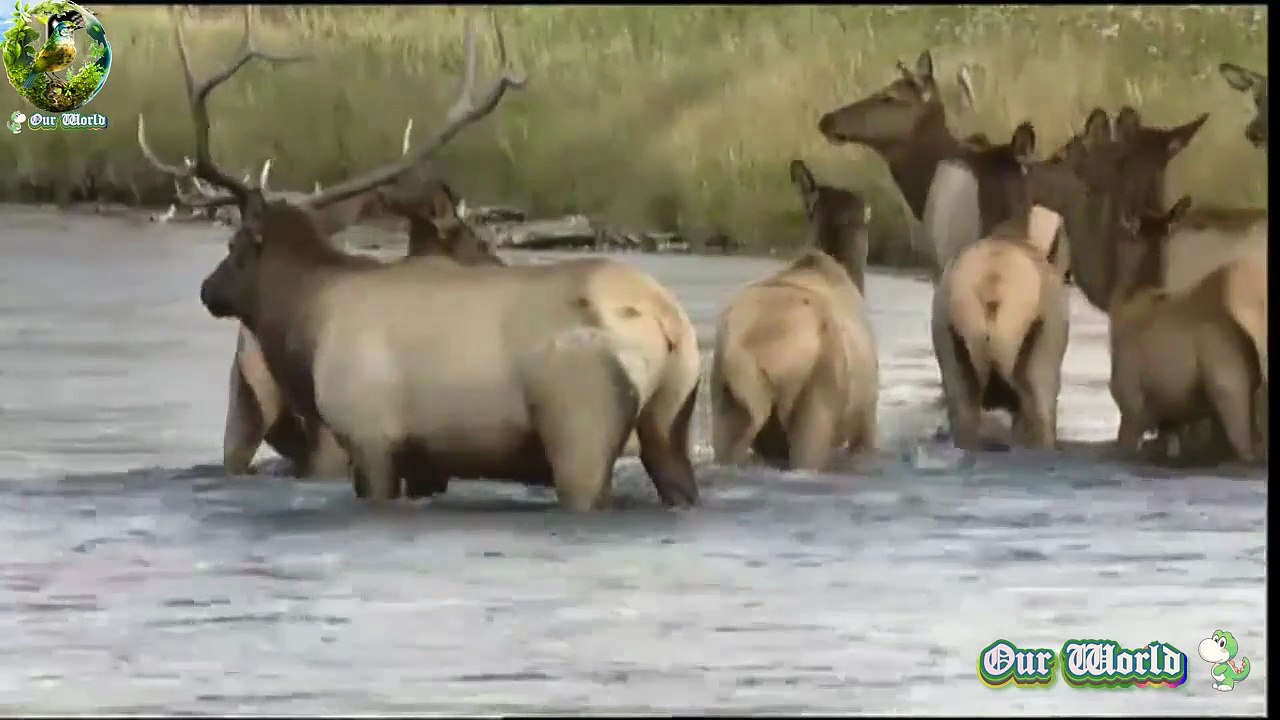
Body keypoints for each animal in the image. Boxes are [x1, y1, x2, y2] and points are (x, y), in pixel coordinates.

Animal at [154, 7, 701, 509]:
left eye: (235, 247)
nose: (208, 289)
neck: (307, 323)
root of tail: (666, 320)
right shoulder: (426, 463)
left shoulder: (370, 436)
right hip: (670, 423)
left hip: (580, 429)